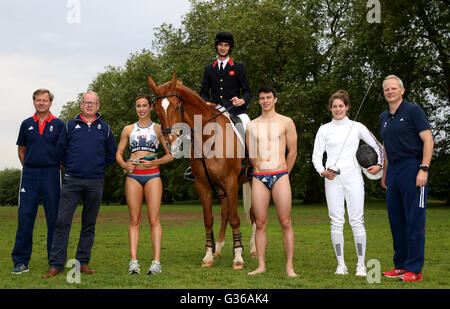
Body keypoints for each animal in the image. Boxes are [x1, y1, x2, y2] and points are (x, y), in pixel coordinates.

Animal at [148, 71, 253, 268]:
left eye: (176, 106)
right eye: (156, 110)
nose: (172, 142)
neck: (208, 136)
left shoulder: (231, 182)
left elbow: (235, 218)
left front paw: (238, 257)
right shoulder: (203, 185)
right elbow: (209, 219)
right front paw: (209, 255)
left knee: (251, 213)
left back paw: (253, 249)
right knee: (225, 213)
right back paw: (219, 248)